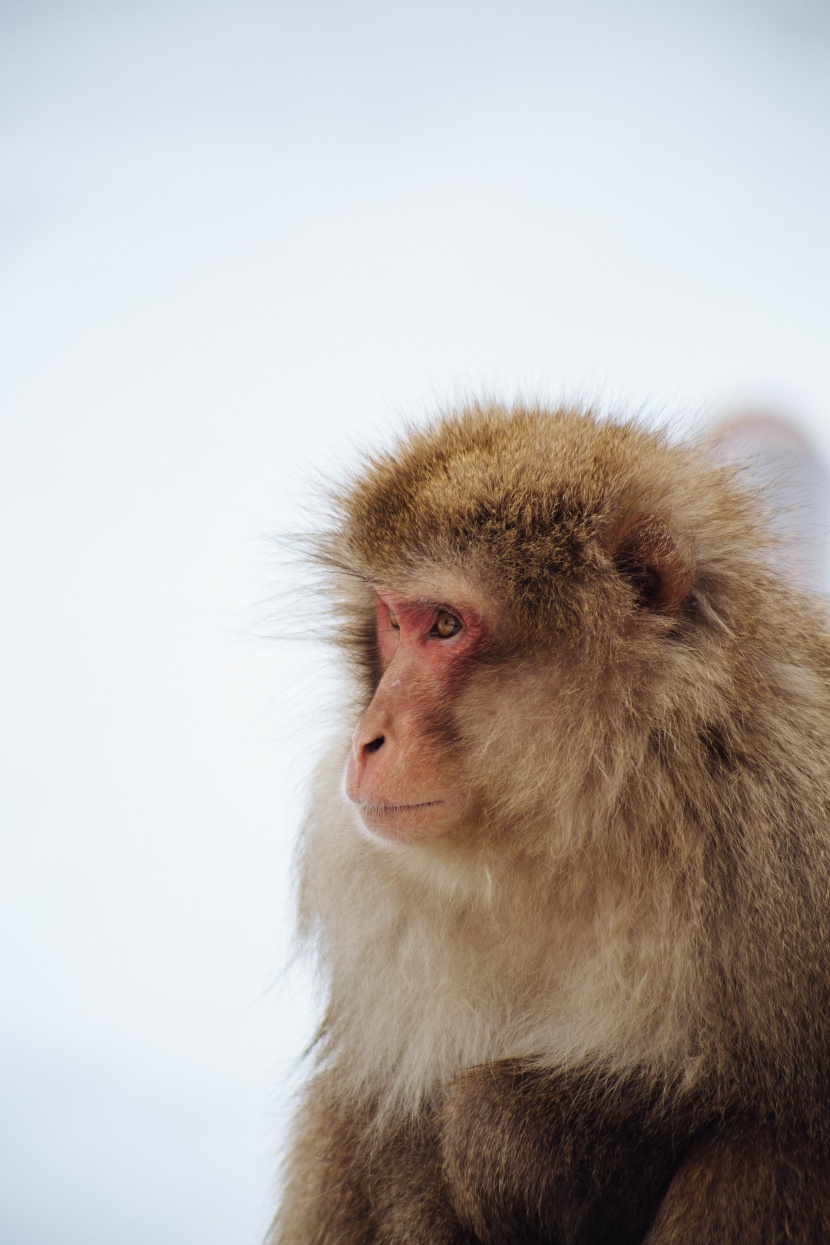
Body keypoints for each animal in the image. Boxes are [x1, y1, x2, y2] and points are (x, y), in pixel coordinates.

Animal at [270, 403, 830, 1240]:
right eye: (391, 623)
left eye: (445, 625)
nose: (369, 737)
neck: (593, 819)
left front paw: (512, 1137)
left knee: (770, 1140)